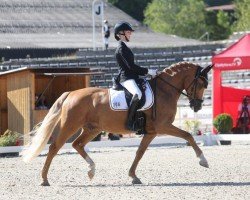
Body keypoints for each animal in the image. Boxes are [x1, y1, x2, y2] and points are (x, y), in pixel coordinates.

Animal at [22, 61, 212, 185]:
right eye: (202, 83)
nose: (197, 106)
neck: (164, 90)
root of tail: (71, 93)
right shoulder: (162, 126)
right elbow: (188, 135)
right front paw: (203, 160)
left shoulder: (151, 131)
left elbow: (139, 152)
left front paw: (133, 176)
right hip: (70, 125)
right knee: (55, 147)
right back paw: (44, 179)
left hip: (92, 129)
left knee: (77, 144)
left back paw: (91, 170)